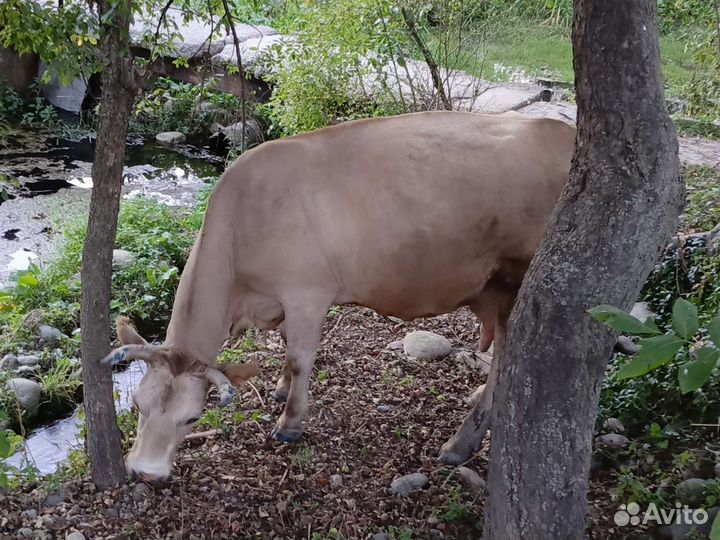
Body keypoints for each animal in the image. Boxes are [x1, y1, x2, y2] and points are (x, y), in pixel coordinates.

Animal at [103, 110, 576, 481]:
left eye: (193, 417)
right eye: (139, 406)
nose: (145, 473)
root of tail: (561, 130)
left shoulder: (306, 293)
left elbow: (299, 357)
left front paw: (290, 423)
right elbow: (284, 346)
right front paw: (279, 389)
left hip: (517, 281)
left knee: (508, 359)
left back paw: (461, 442)